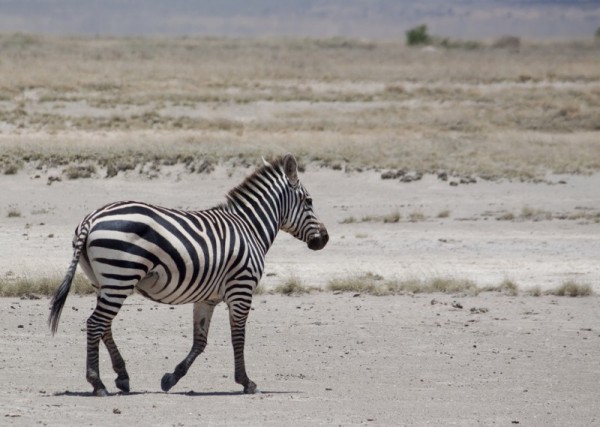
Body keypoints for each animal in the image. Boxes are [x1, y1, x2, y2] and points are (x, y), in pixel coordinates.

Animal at [48, 155, 328, 398]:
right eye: (309, 201)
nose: (324, 239)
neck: (250, 228)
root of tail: (91, 218)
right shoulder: (241, 288)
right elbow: (238, 336)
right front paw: (246, 381)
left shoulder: (207, 297)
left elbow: (200, 341)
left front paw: (171, 378)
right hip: (120, 277)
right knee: (95, 323)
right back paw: (98, 384)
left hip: (103, 281)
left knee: (104, 326)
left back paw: (122, 377)